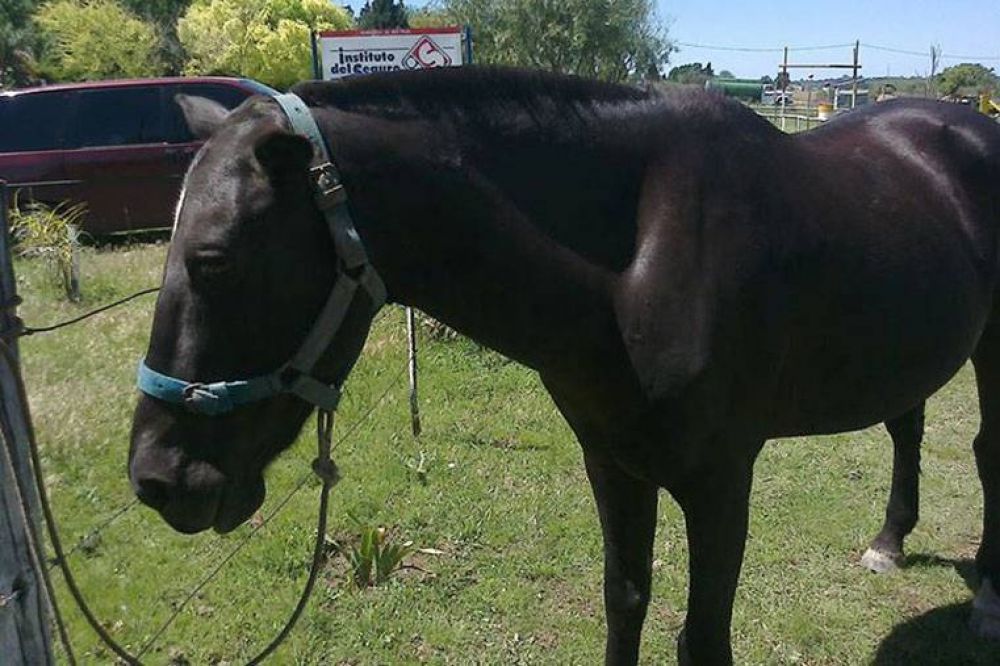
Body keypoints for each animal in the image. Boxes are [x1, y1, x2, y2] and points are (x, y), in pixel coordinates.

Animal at [128, 67, 1000, 664]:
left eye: (214, 260)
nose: (156, 477)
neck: (641, 260)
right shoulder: (612, 462)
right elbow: (625, 601)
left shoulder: (721, 479)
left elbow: (702, 638)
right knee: (906, 426)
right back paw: (890, 540)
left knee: (985, 452)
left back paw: (986, 595)